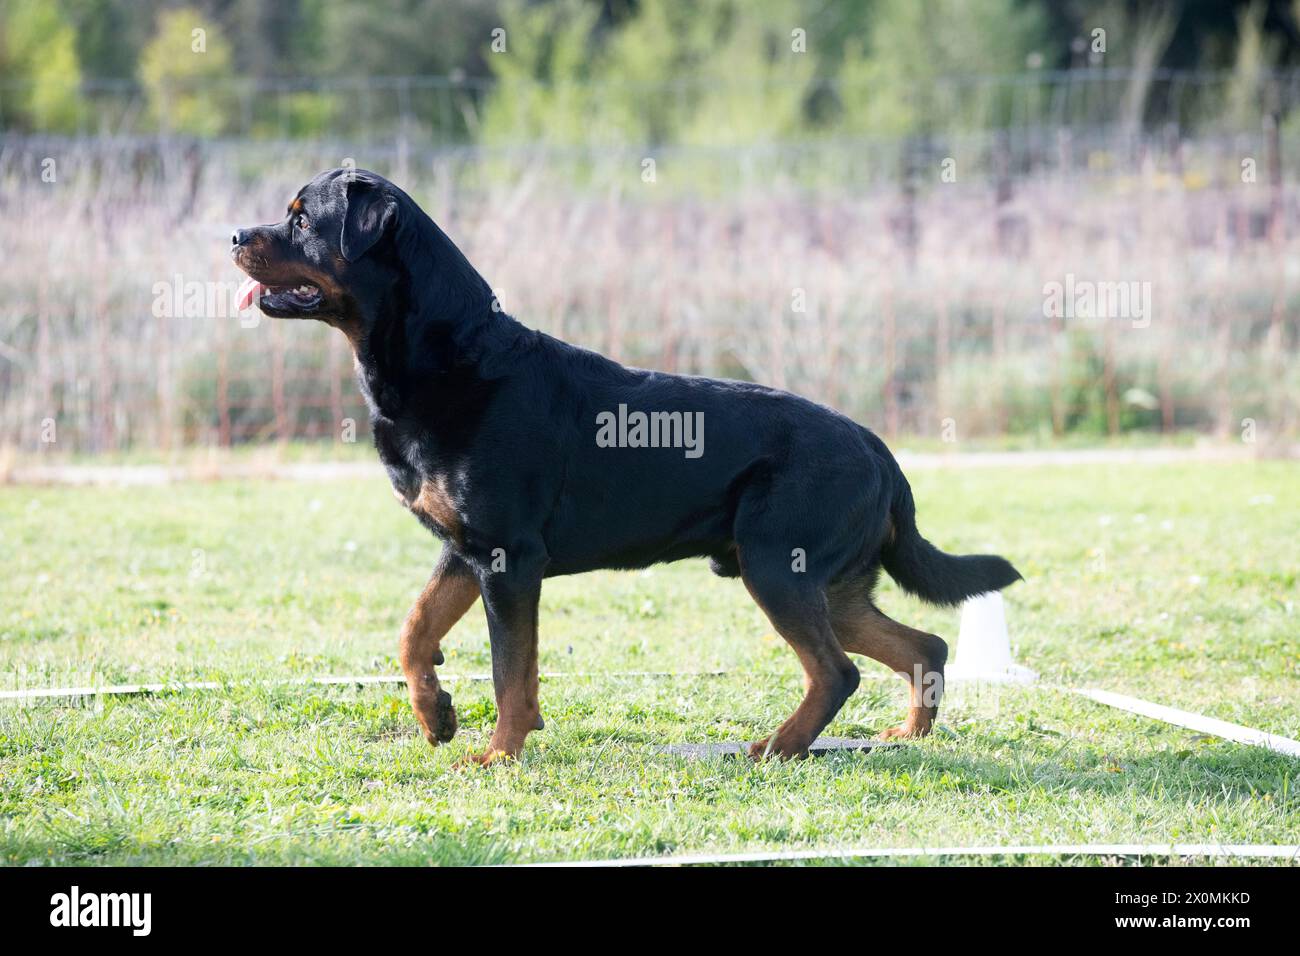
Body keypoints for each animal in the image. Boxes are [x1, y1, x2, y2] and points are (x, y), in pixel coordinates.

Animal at [236, 171, 1024, 764]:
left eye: (303, 220)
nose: (235, 236)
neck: (445, 355)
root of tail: (877, 447)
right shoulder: (464, 551)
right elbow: (415, 630)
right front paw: (436, 715)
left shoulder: (508, 557)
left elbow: (510, 671)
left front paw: (498, 753)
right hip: (829, 582)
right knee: (922, 643)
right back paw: (906, 733)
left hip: (778, 565)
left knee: (837, 670)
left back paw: (777, 747)